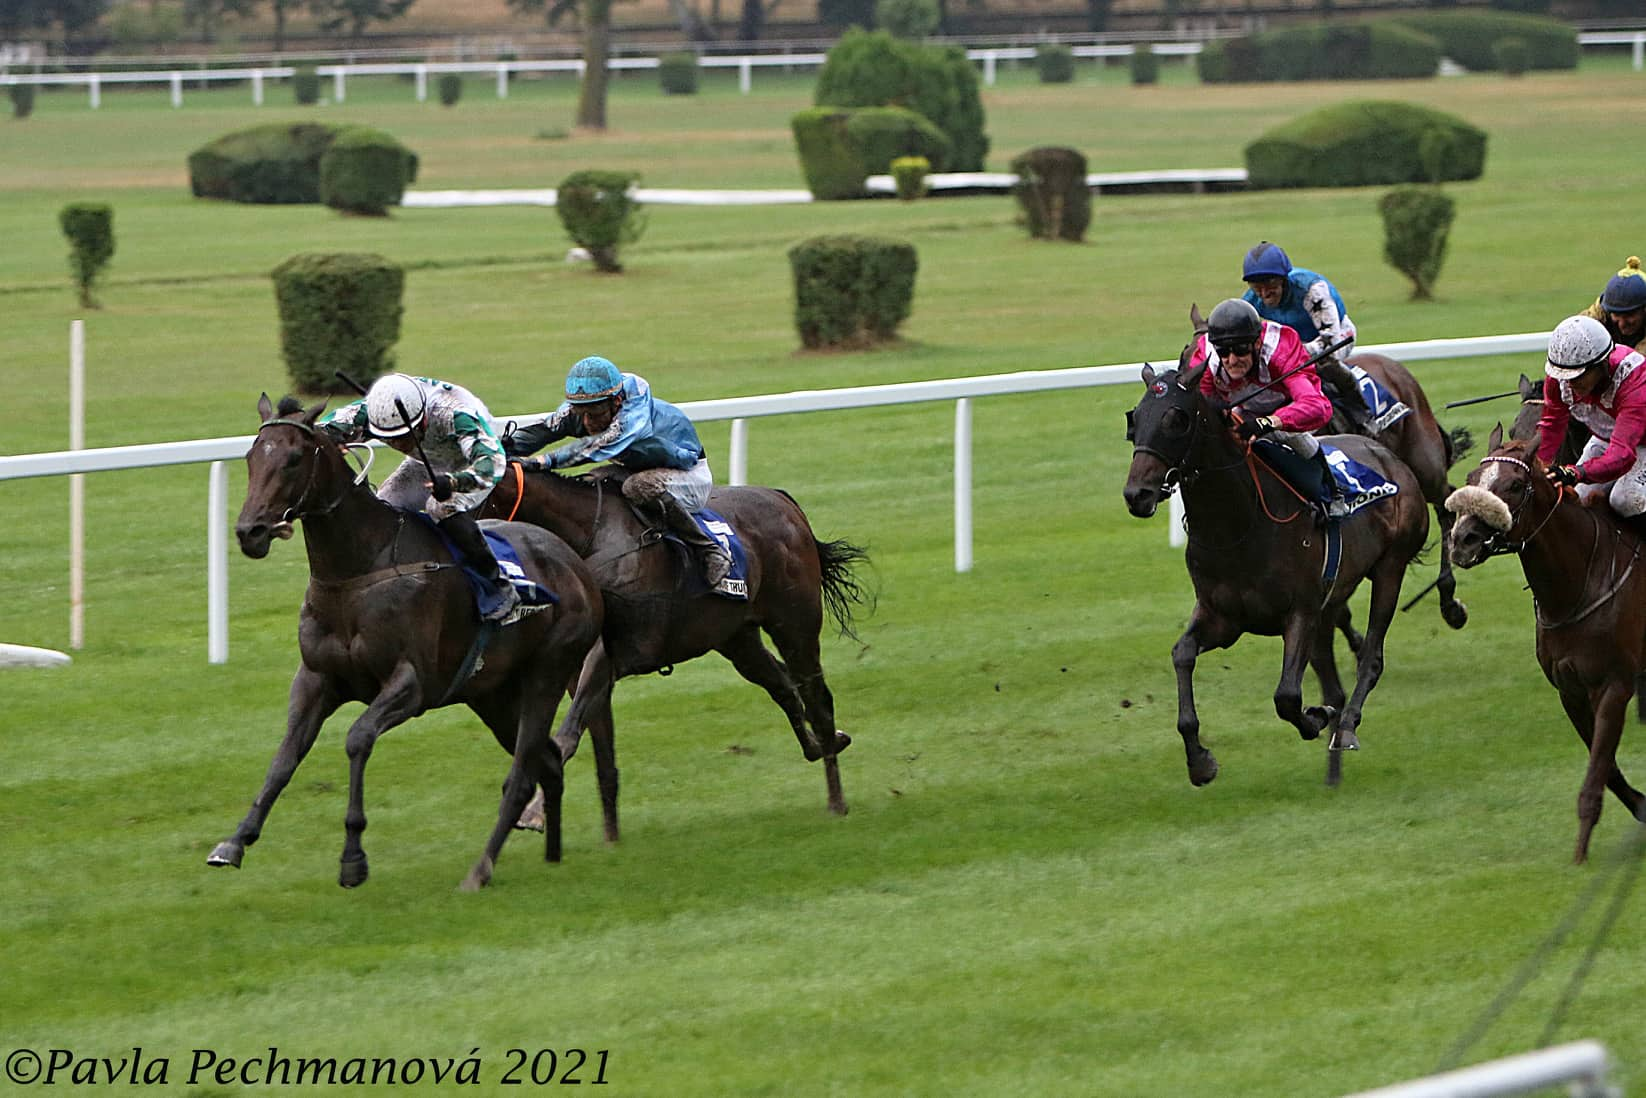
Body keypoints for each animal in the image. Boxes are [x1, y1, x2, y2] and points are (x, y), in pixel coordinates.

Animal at [212, 396, 605, 895]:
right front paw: (235, 841)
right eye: (251, 456)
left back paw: (479, 871)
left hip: (546, 674)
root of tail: (576, 565)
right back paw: (551, 855)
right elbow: (285, 757)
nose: (251, 532)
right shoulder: (316, 679)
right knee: (548, 761)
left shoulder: (411, 684)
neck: (356, 570)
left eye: (294, 458)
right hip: (492, 694)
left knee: (521, 775)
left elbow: (358, 739)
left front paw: (353, 858)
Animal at [480, 464, 875, 842]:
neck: (589, 544)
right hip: (736, 637)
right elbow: (597, 756)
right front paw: (610, 839)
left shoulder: (609, 656)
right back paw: (823, 745)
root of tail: (783, 500)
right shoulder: (577, 674)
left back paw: (836, 799)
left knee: (817, 699)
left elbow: (567, 734)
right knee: (784, 687)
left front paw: (531, 812)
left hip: (795, 625)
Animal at [1125, 358, 1435, 780]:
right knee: (1338, 670)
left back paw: (1346, 725)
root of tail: (1388, 455)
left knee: (1371, 658)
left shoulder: (1300, 610)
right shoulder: (1223, 617)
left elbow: (1287, 696)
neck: (1239, 525)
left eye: (1177, 418)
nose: (1136, 494)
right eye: (1136, 418)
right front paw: (1199, 760)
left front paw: (1317, 717)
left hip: (1391, 567)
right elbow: (1182, 654)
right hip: (1334, 597)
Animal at [1448, 424, 1639, 862]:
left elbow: (1597, 772)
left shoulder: (1614, 685)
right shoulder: (1571, 690)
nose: (1462, 541)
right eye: (1471, 478)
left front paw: (1580, 855)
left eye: (1515, 485)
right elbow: (1606, 768)